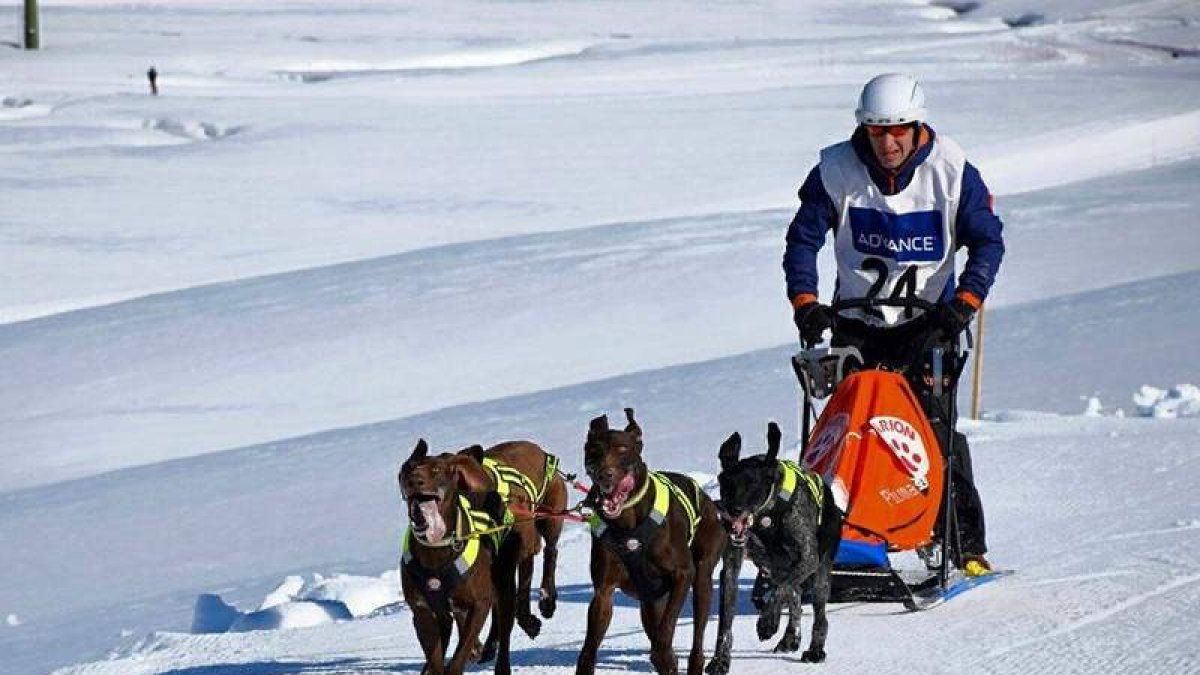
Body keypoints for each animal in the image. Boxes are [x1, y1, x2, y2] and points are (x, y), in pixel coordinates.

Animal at [571, 408, 720, 667]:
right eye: (594, 451)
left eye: (622, 449)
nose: (604, 475)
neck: (628, 524)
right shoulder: (603, 592)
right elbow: (589, 648)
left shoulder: (683, 574)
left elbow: (666, 631)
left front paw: (664, 654)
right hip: (649, 601)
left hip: (702, 577)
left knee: (696, 637)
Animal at [705, 420, 840, 667]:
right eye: (726, 484)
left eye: (752, 484)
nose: (732, 510)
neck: (766, 518)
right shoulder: (730, 570)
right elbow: (725, 623)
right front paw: (720, 660)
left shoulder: (808, 558)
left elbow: (781, 590)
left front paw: (767, 621)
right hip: (773, 567)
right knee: (795, 596)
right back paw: (790, 636)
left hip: (819, 573)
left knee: (818, 614)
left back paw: (815, 650)